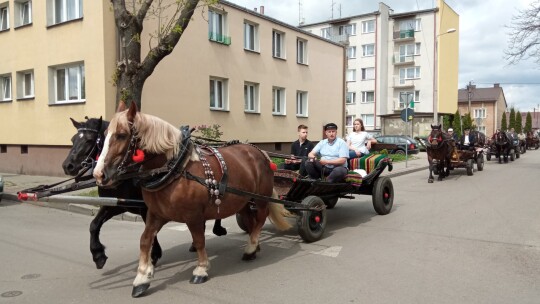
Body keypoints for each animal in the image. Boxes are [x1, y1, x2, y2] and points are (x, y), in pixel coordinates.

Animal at [62, 117, 226, 270]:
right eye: (73, 139)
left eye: (89, 140)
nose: (67, 166)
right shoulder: (116, 205)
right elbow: (94, 225)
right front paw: (98, 255)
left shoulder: (145, 208)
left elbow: (150, 229)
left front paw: (154, 254)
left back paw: (217, 229)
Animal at [92, 102, 292, 296]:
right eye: (104, 135)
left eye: (121, 135)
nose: (99, 174)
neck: (173, 170)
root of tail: (262, 153)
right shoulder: (156, 214)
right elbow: (145, 240)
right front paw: (142, 278)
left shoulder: (193, 216)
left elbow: (199, 240)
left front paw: (201, 270)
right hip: (242, 201)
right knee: (250, 220)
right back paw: (254, 245)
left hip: (260, 199)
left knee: (261, 218)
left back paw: (250, 248)